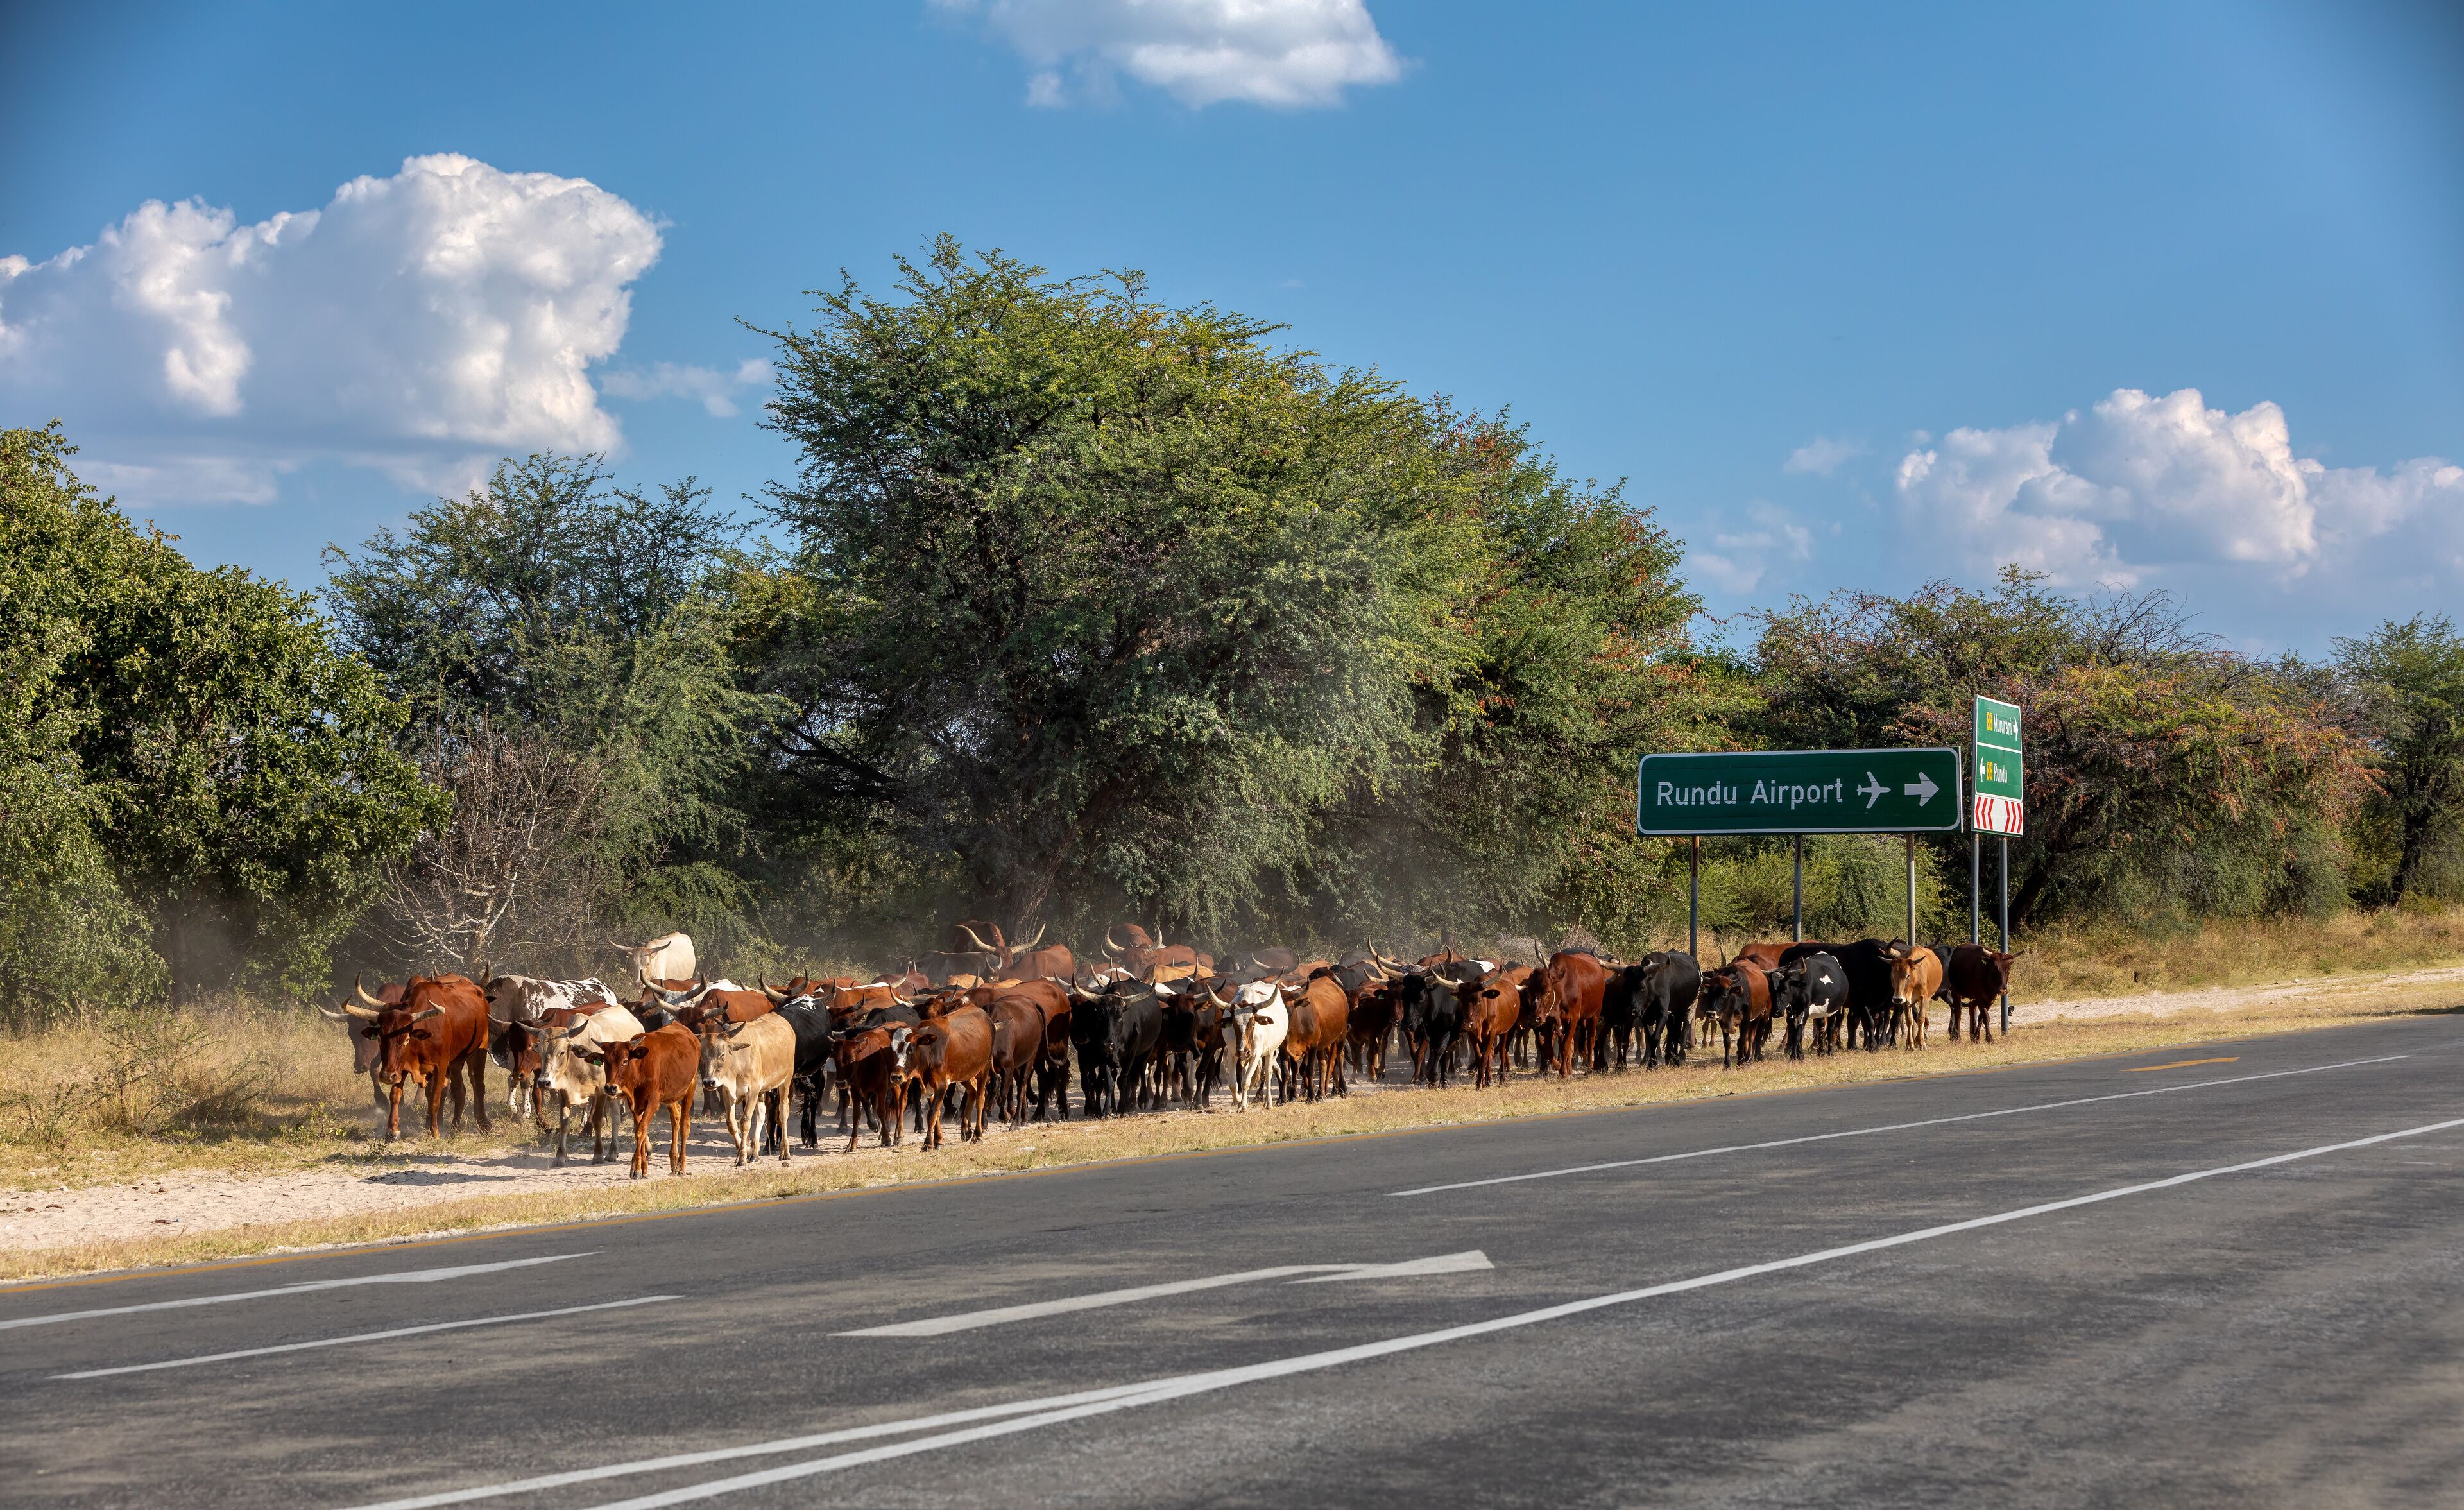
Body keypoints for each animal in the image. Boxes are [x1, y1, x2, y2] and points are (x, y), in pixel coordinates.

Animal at [586, 1024, 700, 1177]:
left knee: (684, 1125)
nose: (611, 1088)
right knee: (676, 1117)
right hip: (670, 1097)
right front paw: (644, 1168)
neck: (639, 1069)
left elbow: (640, 1131)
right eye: (605, 1062)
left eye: (625, 1061)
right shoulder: (634, 1105)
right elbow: (641, 1131)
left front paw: (636, 1169)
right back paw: (674, 1161)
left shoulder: (653, 1103)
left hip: (690, 1087)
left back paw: (681, 1166)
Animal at [1943, 944, 2022, 1042]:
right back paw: (1958, 1037)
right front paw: (1989, 1038)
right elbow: (1986, 1017)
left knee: (1972, 1009)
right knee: (1958, 1013)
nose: (2002, 991)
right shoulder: (1979, 998)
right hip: (1955, 992)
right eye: (1994, 968)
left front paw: (1976, 1037)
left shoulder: (1991, 999)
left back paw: (1972, 1035)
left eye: (2009, 969)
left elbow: (1981, 1017)